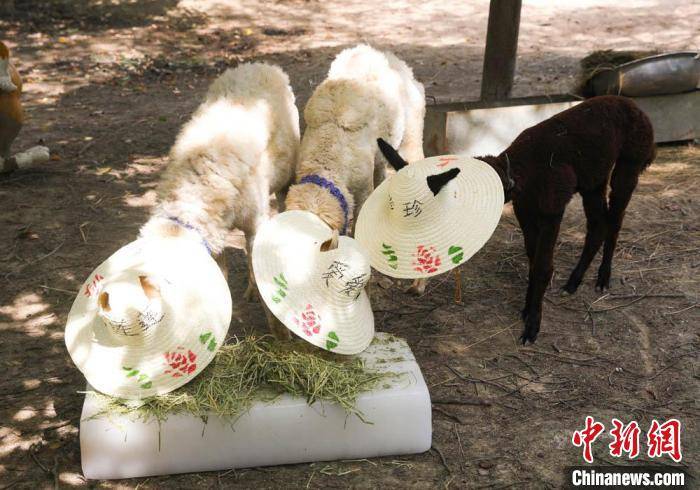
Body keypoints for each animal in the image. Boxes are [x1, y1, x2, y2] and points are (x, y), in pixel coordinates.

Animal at [139, 61, 298, 338]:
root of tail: (259, 65)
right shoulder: (214, 232)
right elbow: (221, 273)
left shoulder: (254, 222)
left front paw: (281, 335)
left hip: (285, 178)